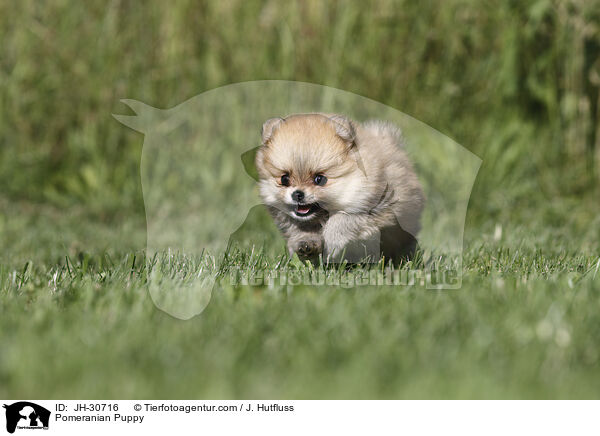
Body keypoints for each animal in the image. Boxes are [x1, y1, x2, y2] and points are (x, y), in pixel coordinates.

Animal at [255, 112, 424, 262]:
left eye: (319, 179)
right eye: (284, 179)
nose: (297, 194)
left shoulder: (378, 209)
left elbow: (342, 220)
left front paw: (332, 242)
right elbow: (300, 232)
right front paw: (306, 244)